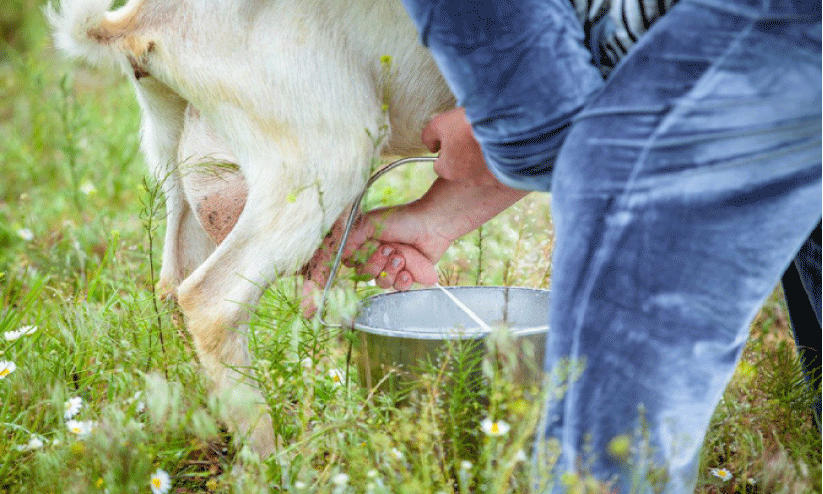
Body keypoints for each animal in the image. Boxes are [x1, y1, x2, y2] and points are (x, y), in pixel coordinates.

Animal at [48, 0, 454, 456]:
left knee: (171, 286)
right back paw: (272, 457)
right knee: (210, 302)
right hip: (326, 151)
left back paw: (207, 427)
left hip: (179, 162)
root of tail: (140, 19)